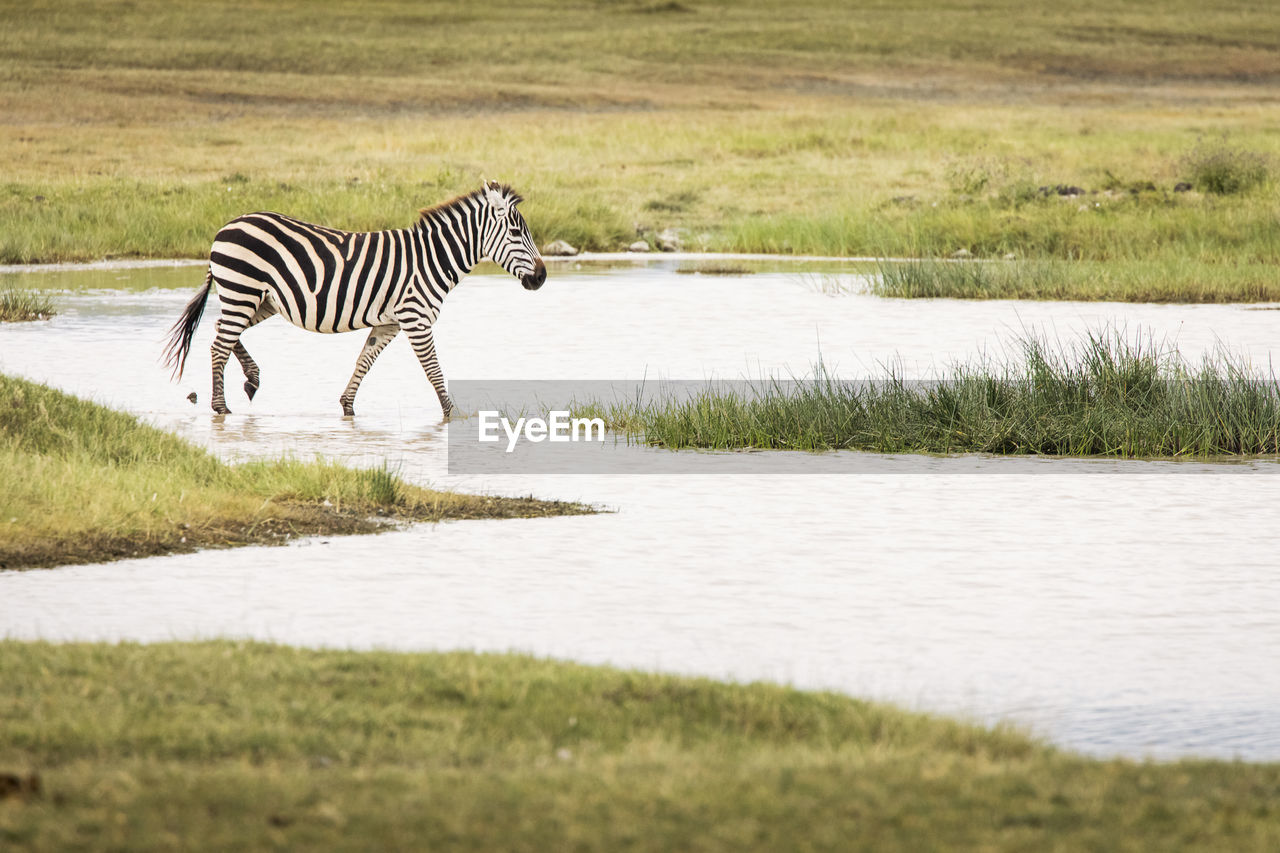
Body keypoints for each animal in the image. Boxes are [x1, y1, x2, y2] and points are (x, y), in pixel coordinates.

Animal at [162, 180, 542, 417]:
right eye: (515, 232)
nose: (541, 277)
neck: (432, 258)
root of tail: (225, 227)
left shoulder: (390, 323)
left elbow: (364, 360)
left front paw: (347, 406)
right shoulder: (415, 318)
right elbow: (434, 371)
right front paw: (452, 414)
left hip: (261, 299)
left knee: (222, 331)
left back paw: (251, 379)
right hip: (243, 289)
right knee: (219, 344)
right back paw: (220, 407)